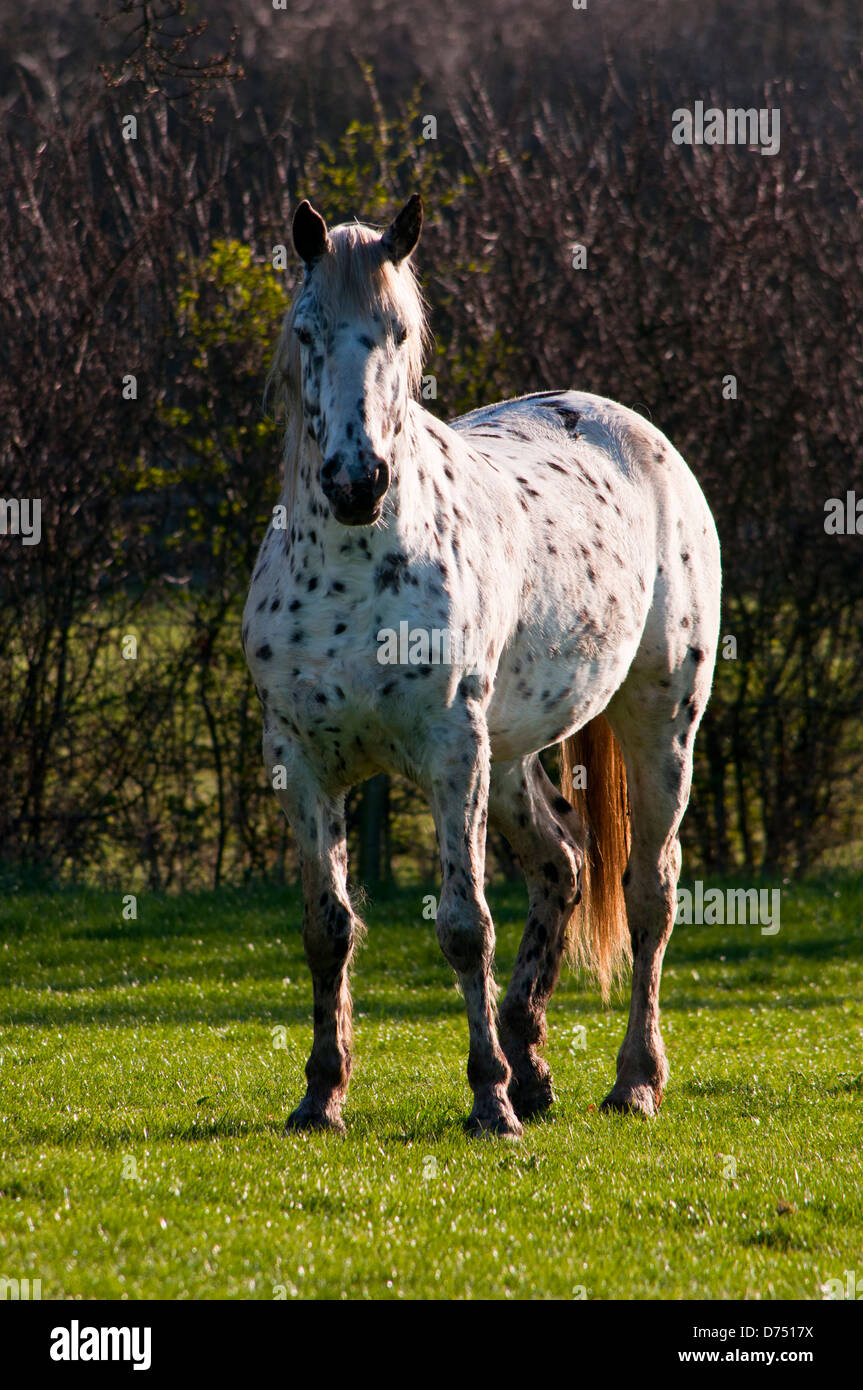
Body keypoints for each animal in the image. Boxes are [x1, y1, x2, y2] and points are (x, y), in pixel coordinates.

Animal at [241, 195, 722, 1139]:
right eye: (308, 331)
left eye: (397, 333)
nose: (355, 480)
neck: (352, 573)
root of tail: (632, 430)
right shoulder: (301, 762)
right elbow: (327, 928)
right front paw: (321, 1095)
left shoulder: (448, 754)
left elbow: (465, 928)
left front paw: (487, 1099)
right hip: (508, 756)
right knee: (562, 865)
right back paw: (533, 1066)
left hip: (659, 725)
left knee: (648, 894)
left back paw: (631, 1081)